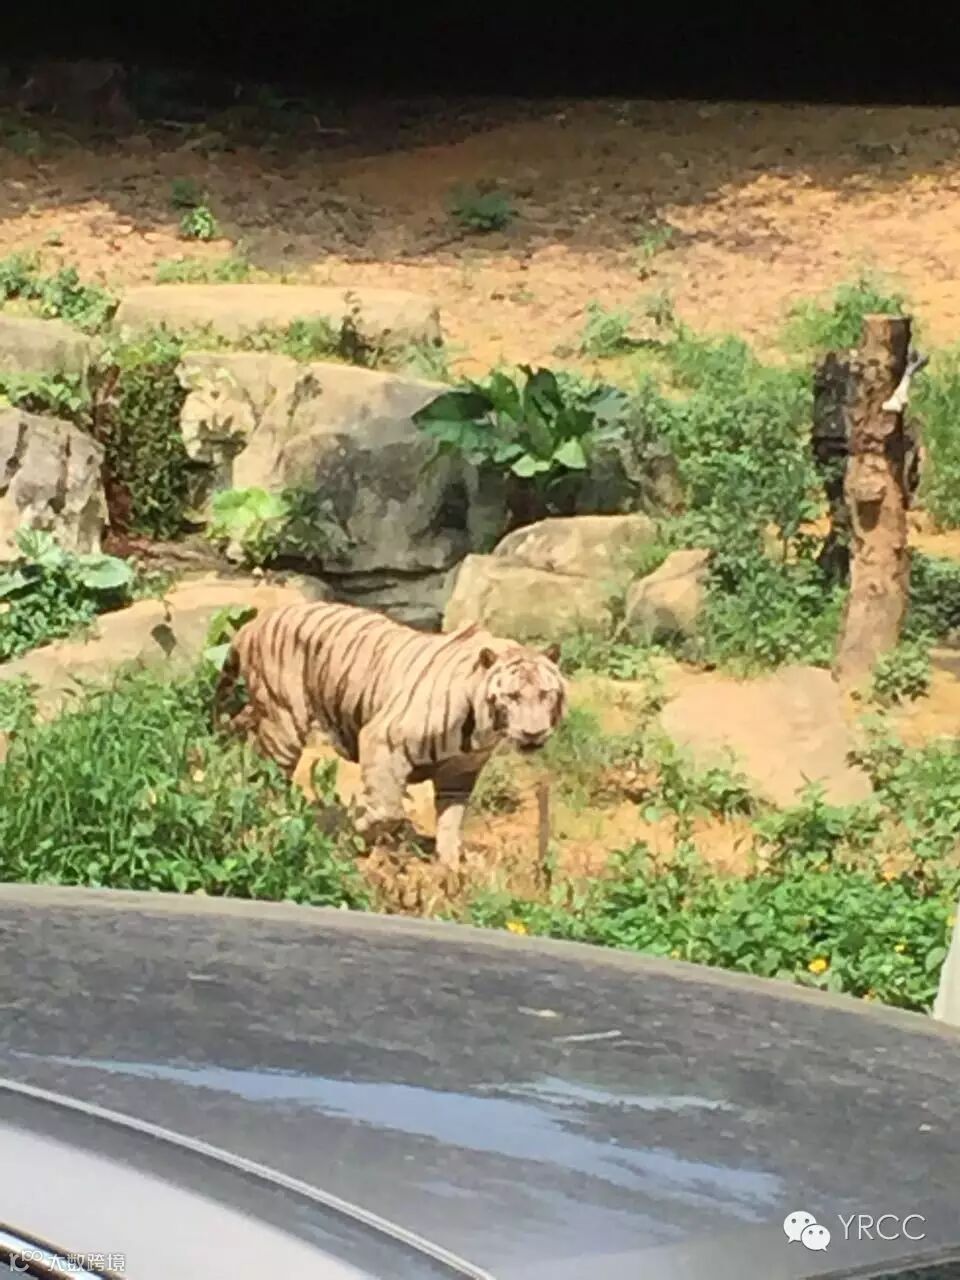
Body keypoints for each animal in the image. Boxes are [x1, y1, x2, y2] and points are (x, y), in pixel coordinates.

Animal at [213, 601, 567, 867]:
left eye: (546, 694)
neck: (480, 730)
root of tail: (256, 622)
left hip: (263, 715)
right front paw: (361, 830)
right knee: (267, 774)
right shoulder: (382, 739)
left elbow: (450, 819)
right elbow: (389, 809)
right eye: (512, 697)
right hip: (285, 723)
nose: (533, 732)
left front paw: (450, 863)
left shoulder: (461, 771)